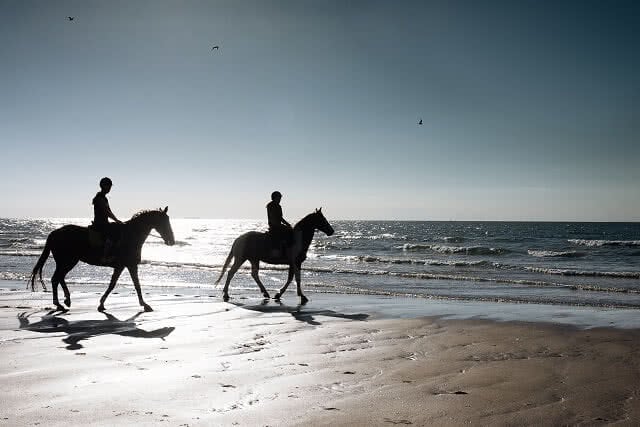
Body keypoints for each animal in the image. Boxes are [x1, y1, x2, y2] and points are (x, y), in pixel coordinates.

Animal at [30, 208, 175, 312]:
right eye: (164, 222)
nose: (172, 241)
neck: (131, 235)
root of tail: (55, 233)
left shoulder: (122, 266)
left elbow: (113, 284)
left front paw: (101, 304)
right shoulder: (130, 265)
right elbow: (135, 285)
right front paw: (145, 305)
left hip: (67, 262)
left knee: (60, 278)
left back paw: (66, 300)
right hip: (67, 261)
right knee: (56, 279)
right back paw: (59, 303)